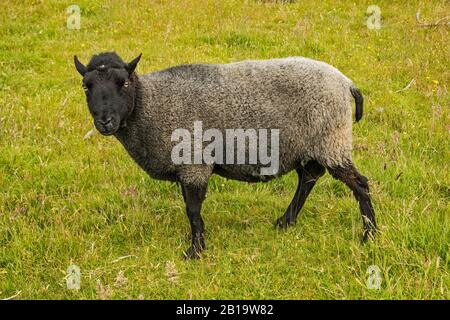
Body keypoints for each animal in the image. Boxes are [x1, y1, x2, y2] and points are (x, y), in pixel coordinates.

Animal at [73, 52, 376, 258]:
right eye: (86, 86)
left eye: (124, 83)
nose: (105, 121)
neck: (149, 104)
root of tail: (346, 83)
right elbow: (191, 209)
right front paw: (197, 245)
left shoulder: (193, 160)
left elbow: (192, 210)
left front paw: (195, 251)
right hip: (310, 144)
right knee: (309, 177)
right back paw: (285, 222)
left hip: (331, 138)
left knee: (358, 184)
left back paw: (369, 234)